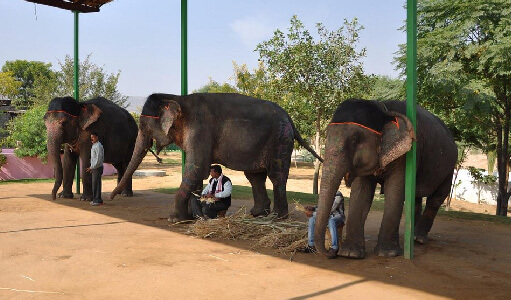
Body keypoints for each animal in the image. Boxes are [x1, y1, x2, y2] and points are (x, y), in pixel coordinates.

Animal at [111, 92, 322, 221]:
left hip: (280, 140)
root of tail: (289, 119)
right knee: (255, 177)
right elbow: (197, 173)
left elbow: (196, 169)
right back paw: (257, 214)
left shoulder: (199, 130)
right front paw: (191, 217)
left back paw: (276, 217)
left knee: (276, 176)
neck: (177, 98)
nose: (113, 197)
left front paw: (174, 219)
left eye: (144, 127)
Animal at [314, 99, 458, 258]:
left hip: (449, 166)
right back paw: (411, 237)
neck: (382, 108)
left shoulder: (407, 154)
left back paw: (418, 238)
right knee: (416, 198)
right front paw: (350, 254)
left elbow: (394, 190)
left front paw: (387, 253)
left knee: (436, 198)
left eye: (354, 140)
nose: (332, 250)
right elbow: (361, 192)